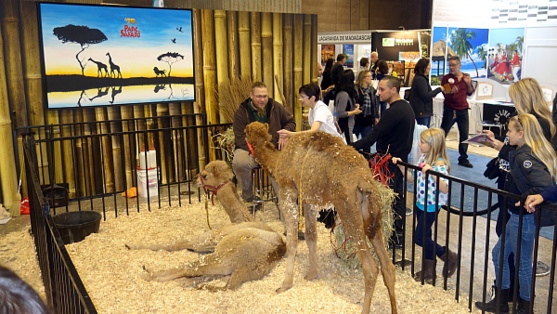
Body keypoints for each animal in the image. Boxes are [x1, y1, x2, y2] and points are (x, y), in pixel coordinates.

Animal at [245, 122, 398, 314]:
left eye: (245, 133)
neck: (279, 161)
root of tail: (364, 181)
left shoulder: (288, 190)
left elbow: (293, 240)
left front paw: (285, 285)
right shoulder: (310, 200)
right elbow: (311, 236)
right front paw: (311, 274)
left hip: (349, 212)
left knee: (370, 268)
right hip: (373, 217)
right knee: (388, 266)